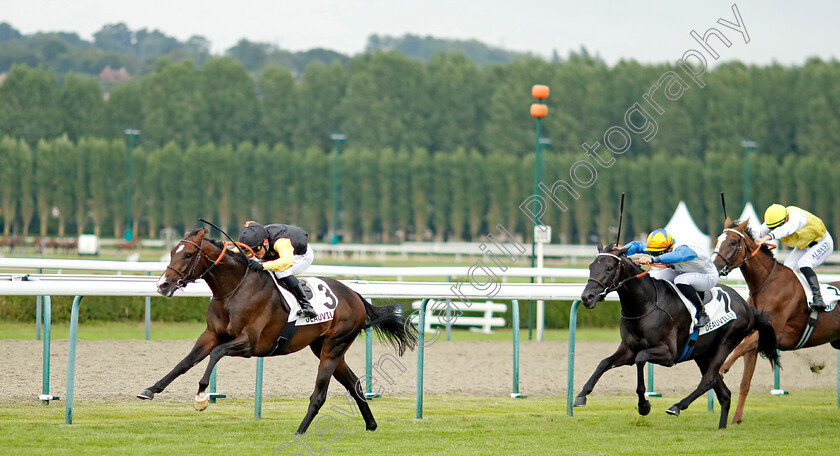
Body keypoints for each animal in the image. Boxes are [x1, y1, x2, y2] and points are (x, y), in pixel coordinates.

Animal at [136, 230, 416, 432]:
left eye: (187, 254)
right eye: (172, 252)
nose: (162, 285)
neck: (234, 290)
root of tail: (355, 295)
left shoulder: (250, 344)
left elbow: (216, 354)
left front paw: (202, 396)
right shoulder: (210, 335)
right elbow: (184, 362)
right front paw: (150, 390)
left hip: (333, 347)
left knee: (319, 395)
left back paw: (300, 431)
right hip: (325, 348)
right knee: (355, 384)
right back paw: (371, 424)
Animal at [576, 244, 776, 430]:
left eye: (609, 268)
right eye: (591, 266)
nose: (587, 297)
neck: (645, 305)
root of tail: (748, 307)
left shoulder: (669, 355)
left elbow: (641, 359)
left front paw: (644, 405)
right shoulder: (628, 350)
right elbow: (604, 363)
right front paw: (581, 396)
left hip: (726, 342)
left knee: (709, 380)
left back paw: (677, 406)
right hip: (703, 355)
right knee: (723, 393)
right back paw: (721, 427)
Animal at [712, 218, 840, 424]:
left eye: (732, 242)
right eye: (717, 240)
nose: (714, 265)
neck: (767, 284)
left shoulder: (775, 333)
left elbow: (739, 347)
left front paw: (723, 367)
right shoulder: (756, 340)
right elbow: (745, 381)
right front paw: (736, 419)